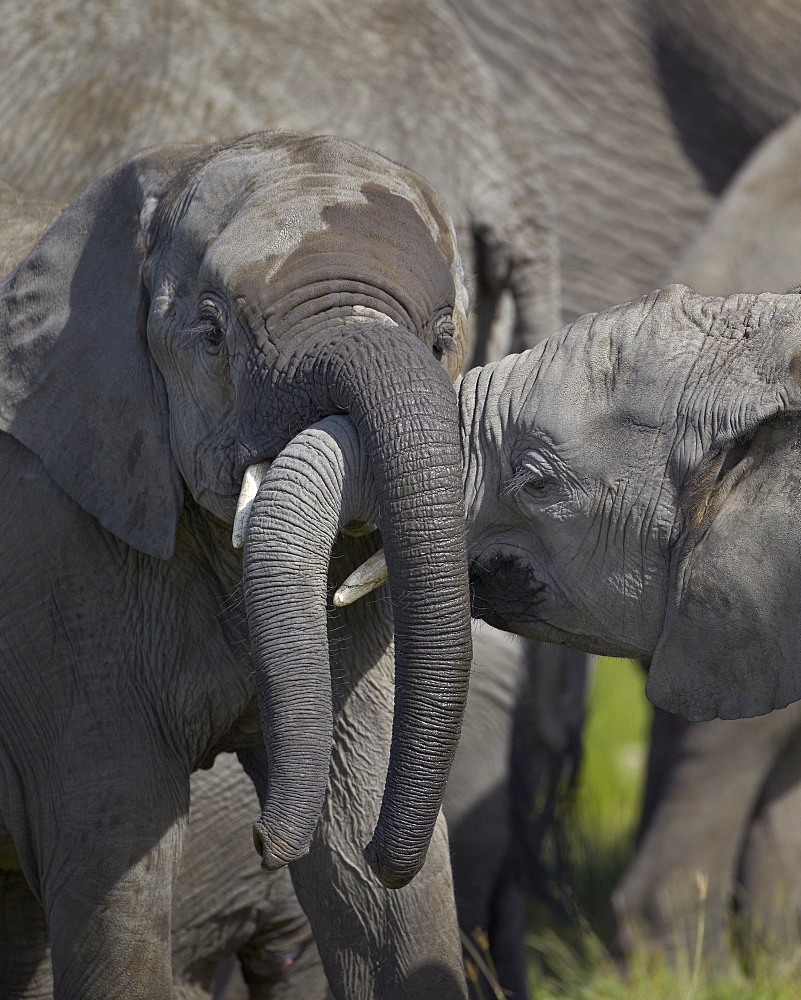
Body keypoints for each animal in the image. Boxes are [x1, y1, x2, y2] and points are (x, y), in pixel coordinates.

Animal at [0, 135, 476, 1000]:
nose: (262, 841)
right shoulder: (49, 563)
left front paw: (369, 858)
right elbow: (116, 853)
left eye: (439, 340)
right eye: (213, 333)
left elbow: (371, 876)